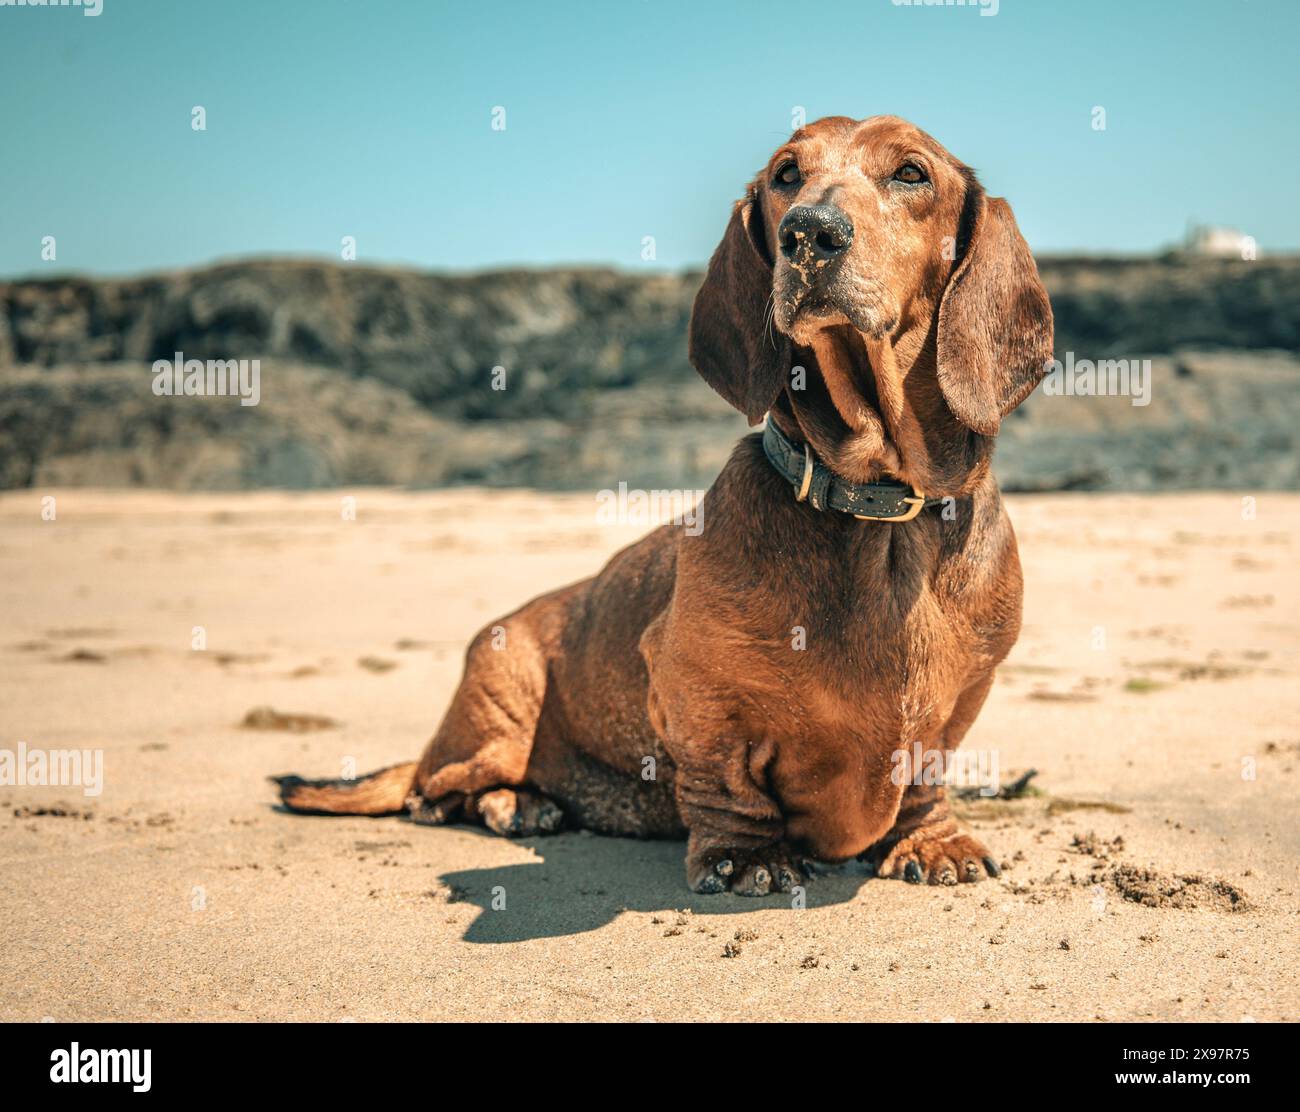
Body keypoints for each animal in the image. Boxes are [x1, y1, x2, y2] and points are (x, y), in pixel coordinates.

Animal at [279, 115, 1050, 894]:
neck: (876, 511)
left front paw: (929, 837)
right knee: (432, 792)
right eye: (786, 174)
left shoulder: (963, 697)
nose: (809, 232)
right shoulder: (691, 685)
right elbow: (725, 779)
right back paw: (515, 804)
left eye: (912, 173)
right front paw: (746, 855)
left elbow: (925, 770)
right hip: (498, 702)